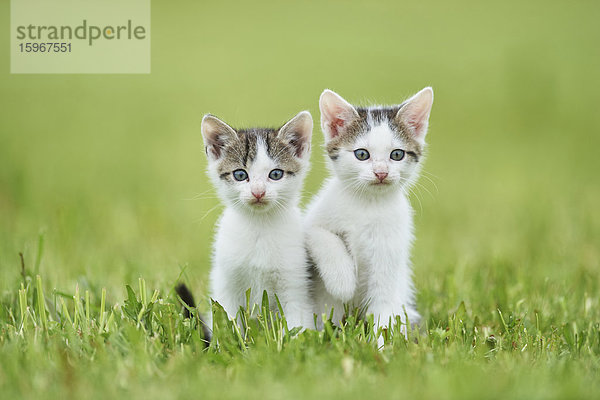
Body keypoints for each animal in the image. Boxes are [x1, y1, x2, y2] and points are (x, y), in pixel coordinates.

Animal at [202, 109, 314, 328]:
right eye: (239, 174)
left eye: (276, 174)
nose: (258, 192)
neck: (259, 225)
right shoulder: (226, 284)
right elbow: (228, 322)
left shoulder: (295, 283)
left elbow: (297, 323)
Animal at [308, 87, 434, 344]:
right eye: (361, 154)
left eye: (397, 154)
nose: (381, 173)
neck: (368, 203)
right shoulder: (311, 221)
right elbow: (321, 235)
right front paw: (343, 281)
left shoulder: (390, 253)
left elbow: (384, 306)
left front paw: (380, 346)